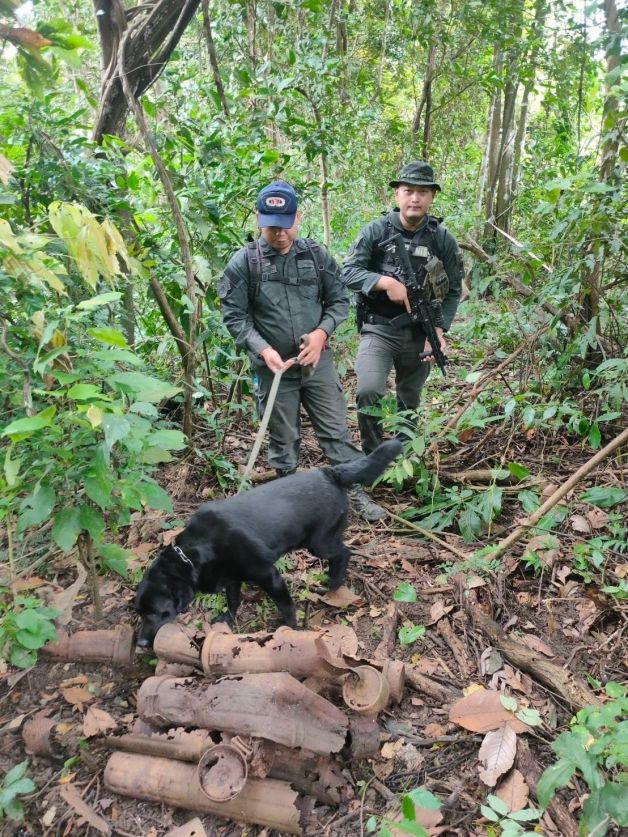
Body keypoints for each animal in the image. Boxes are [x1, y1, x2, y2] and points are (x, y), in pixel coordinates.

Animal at [134, 439, 401, 647]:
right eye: (139, 613)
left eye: (157, 613)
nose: (141, 643)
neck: (192, 555)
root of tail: (330, 472)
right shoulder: (232, 579)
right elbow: (233, 600)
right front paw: (227, 618)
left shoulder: (269, 576)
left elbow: (286, 607)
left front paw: (290, 629)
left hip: (319, 542)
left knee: (344, 553)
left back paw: (333, 584)